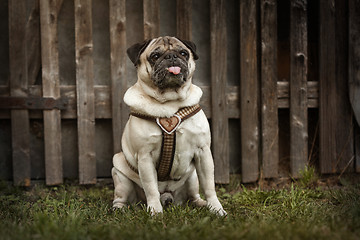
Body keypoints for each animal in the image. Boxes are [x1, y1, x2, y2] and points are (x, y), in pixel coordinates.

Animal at [111, 36, 226, 217]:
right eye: (155, 56)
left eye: (184, 53)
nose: (171, 56)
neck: (170, 102)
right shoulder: (145, 156)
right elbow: (151, 189)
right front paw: (155, 212)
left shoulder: (203, 152)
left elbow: (209, 185)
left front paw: (216, 208)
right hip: (120, 174)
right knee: (121, 197)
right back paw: (119, 209)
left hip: (193, 177)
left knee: (193, 196)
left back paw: (202, 204)